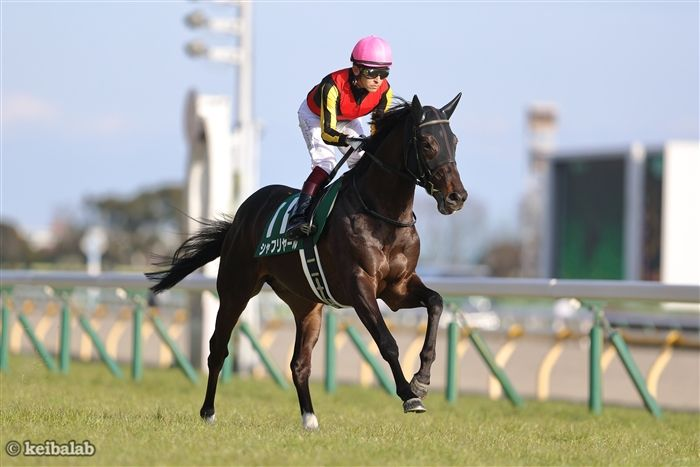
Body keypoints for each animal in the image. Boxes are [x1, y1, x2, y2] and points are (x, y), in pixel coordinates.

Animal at [146, 94, 468, 430]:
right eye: (427, 142)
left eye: (454, 141)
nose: (457, 197)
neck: (384, 216)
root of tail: (239, 217)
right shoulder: (360, 286)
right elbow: (387, 341)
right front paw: (409, 394)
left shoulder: (398, 288)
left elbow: (436, 302)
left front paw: (422, 378)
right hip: (236, 290)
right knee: (217, 349)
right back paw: (208, 411)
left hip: (306, 304)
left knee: (299, 363)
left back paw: (310, 418)